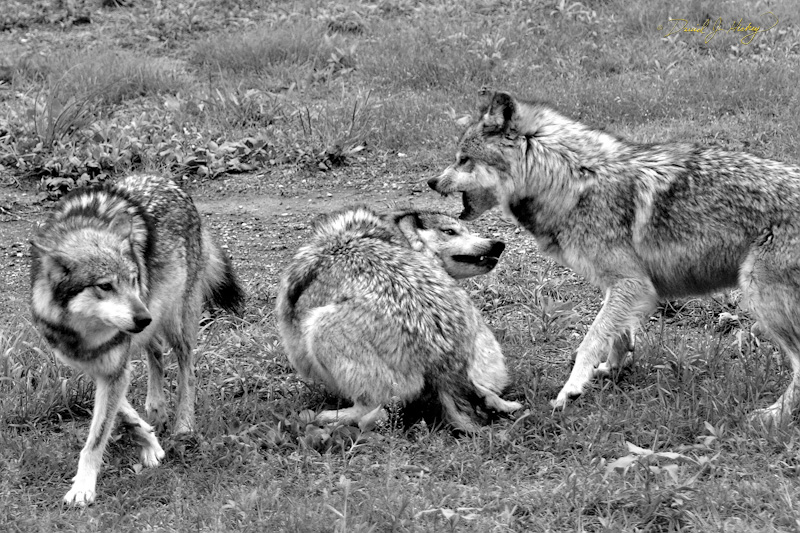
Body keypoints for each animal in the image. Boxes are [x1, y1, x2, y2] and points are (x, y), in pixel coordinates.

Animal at [30, 174, 244, 505]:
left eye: (132, 280)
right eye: (105, 286)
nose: (144, 317)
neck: (82, 334)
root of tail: (168, 180)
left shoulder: (113, 367)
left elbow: (97, 437)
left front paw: (83, 488)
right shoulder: (96, 366)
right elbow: (122, 414)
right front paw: (151, 442)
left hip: (176, 321)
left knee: (187, 369)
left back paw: (184, 426)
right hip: (153, 324)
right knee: (155, 351)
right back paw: (156, 407)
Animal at [275, 206, 522, 433]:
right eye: (450, 231)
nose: (498, 244)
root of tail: (447, 361)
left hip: (322, 329)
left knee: (375, 412)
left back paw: (331, 417)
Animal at [428, 89, 800, 428]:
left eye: (463, 160)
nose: (431, 182)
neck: (571, 178)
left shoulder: (632, 284)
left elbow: (590, 341)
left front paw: (572, 389)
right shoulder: (622, 287)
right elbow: (617, 335)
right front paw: (612, 369)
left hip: (761, 300)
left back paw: (773, 416)